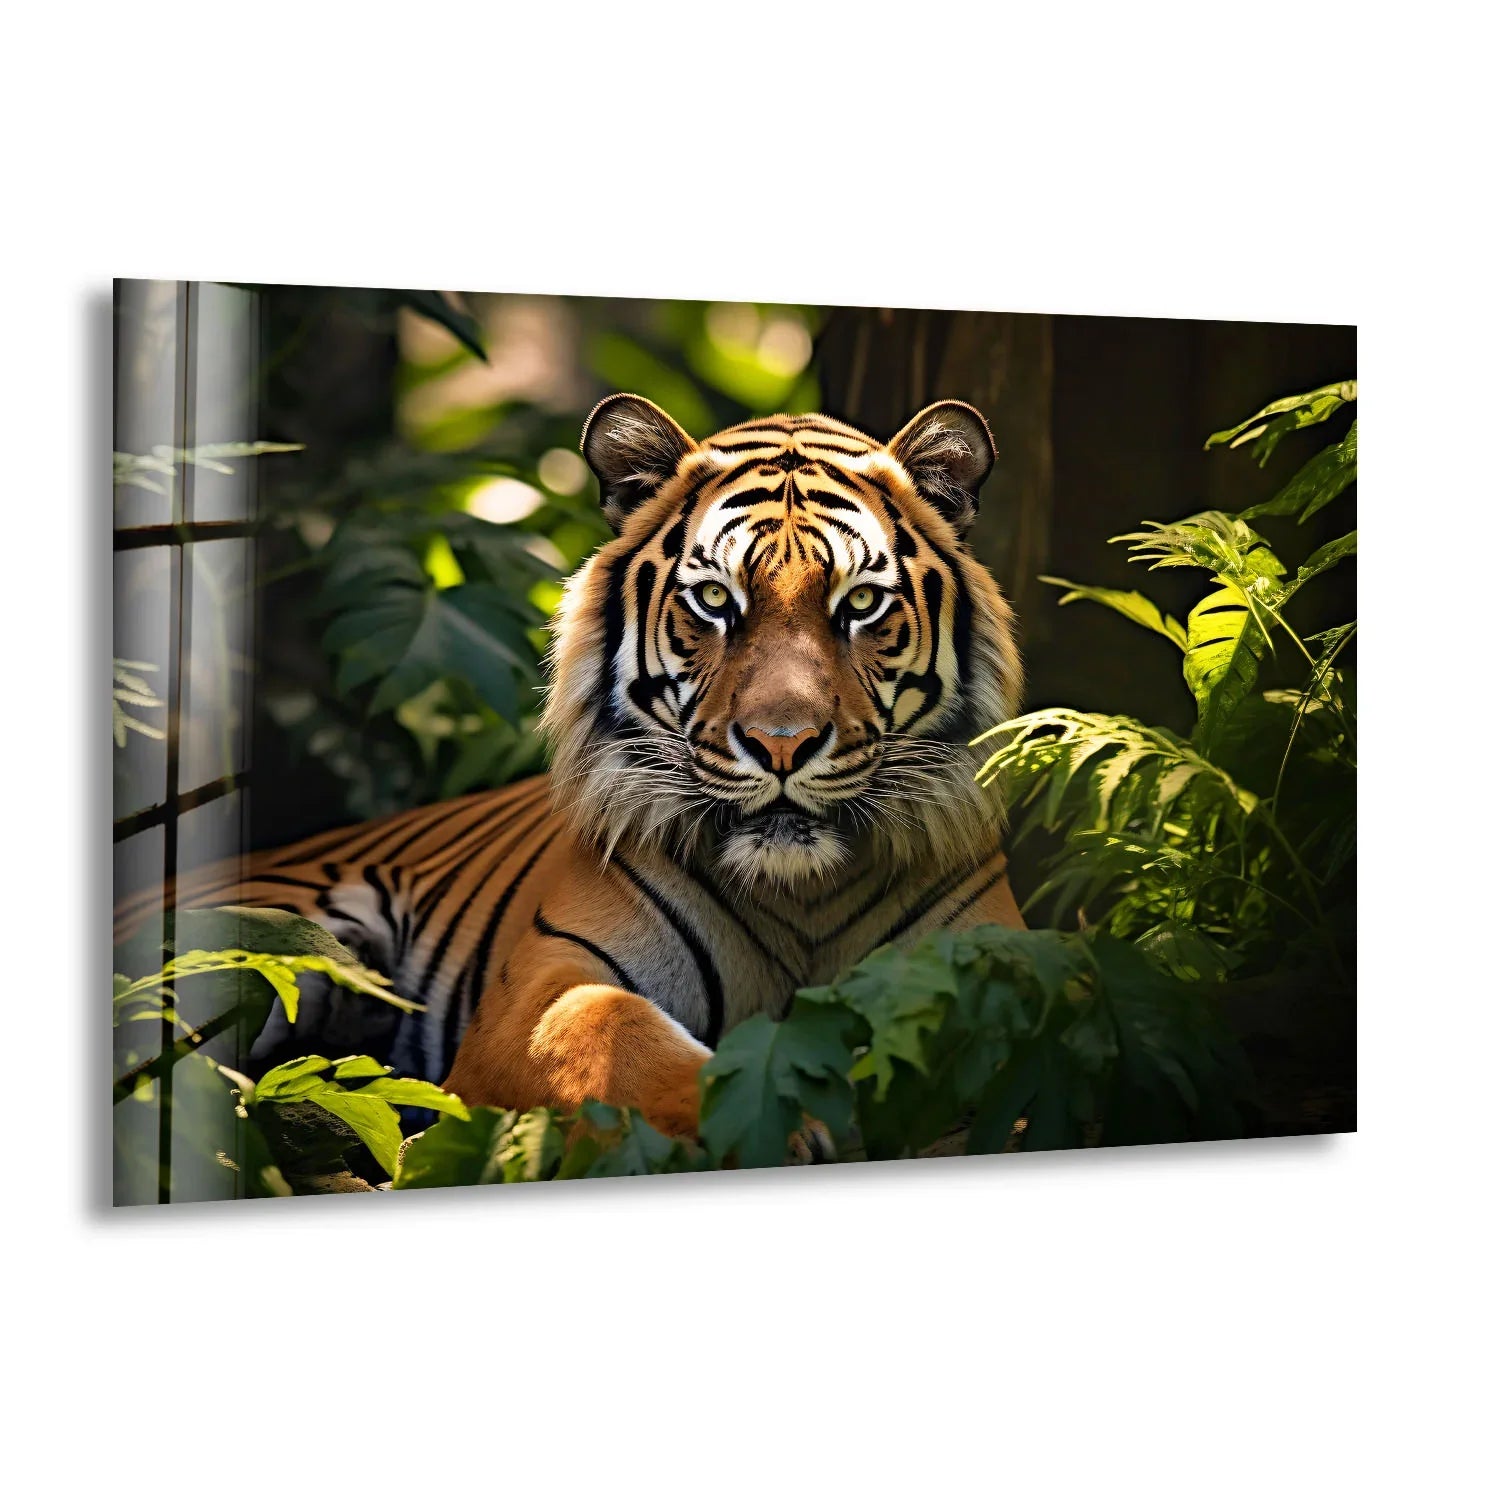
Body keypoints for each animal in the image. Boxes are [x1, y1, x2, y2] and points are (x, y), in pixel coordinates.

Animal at [118, 395, 1027, 1143]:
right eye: (715, 601)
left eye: (861, 604)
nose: (781, 743)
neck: (798, 893)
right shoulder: (540, 990)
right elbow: (611, 1036)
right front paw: (766, 1125)